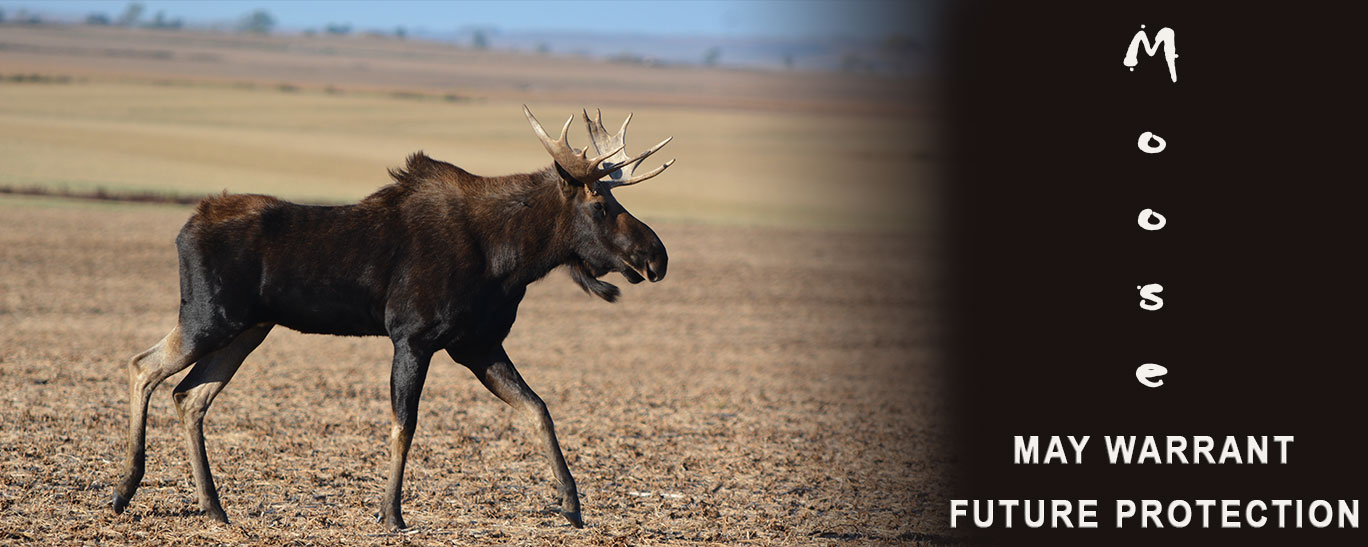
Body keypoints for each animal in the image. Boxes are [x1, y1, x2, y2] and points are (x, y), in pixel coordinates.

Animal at [110, 106, 674, 530]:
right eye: (600, 204)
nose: (657, 257)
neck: (510, 259)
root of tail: (185, 228)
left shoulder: (477, 344)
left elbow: (538, 409)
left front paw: (572, 505)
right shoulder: (414, 336)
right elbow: (405, 425)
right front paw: (391, 513)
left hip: (247, 329)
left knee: (189, 396)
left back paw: (214, 507)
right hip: (209, 317)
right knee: (143, 367)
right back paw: (124, 490)